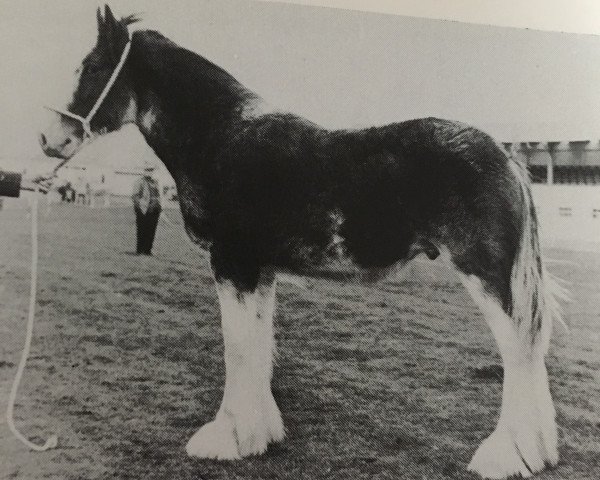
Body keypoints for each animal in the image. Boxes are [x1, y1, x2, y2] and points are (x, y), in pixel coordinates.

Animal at [39, 5, 564, 478]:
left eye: (91, 68)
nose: (48, 139)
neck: (222, 137)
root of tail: (506, 156)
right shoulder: (258, 271)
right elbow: (258, 345)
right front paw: (260, 434)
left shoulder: (232, 264)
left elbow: (237, 348)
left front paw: (224, 439)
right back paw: (537, 454)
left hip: (486, 275)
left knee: (518, 354)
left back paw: (505, 457)